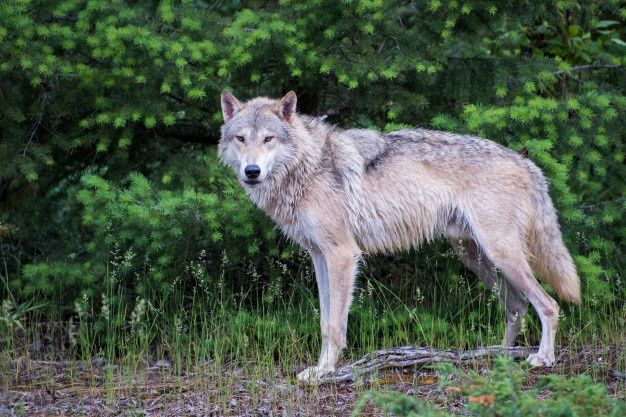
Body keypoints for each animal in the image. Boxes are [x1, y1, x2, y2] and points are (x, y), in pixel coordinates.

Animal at [218, 89, 580, 382]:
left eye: (268, 139)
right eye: (241, 139)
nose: (252, 171)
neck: (307, 165)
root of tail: (527, 163)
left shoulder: (342, 254)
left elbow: (335, 325)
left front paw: (324, 372)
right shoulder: (319, 256)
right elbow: (324, 321)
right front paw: (321, 368)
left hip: (500, 255)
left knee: (548, 305)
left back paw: (542, 358)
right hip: (477, 258)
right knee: (517, 306)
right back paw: (499, 357)